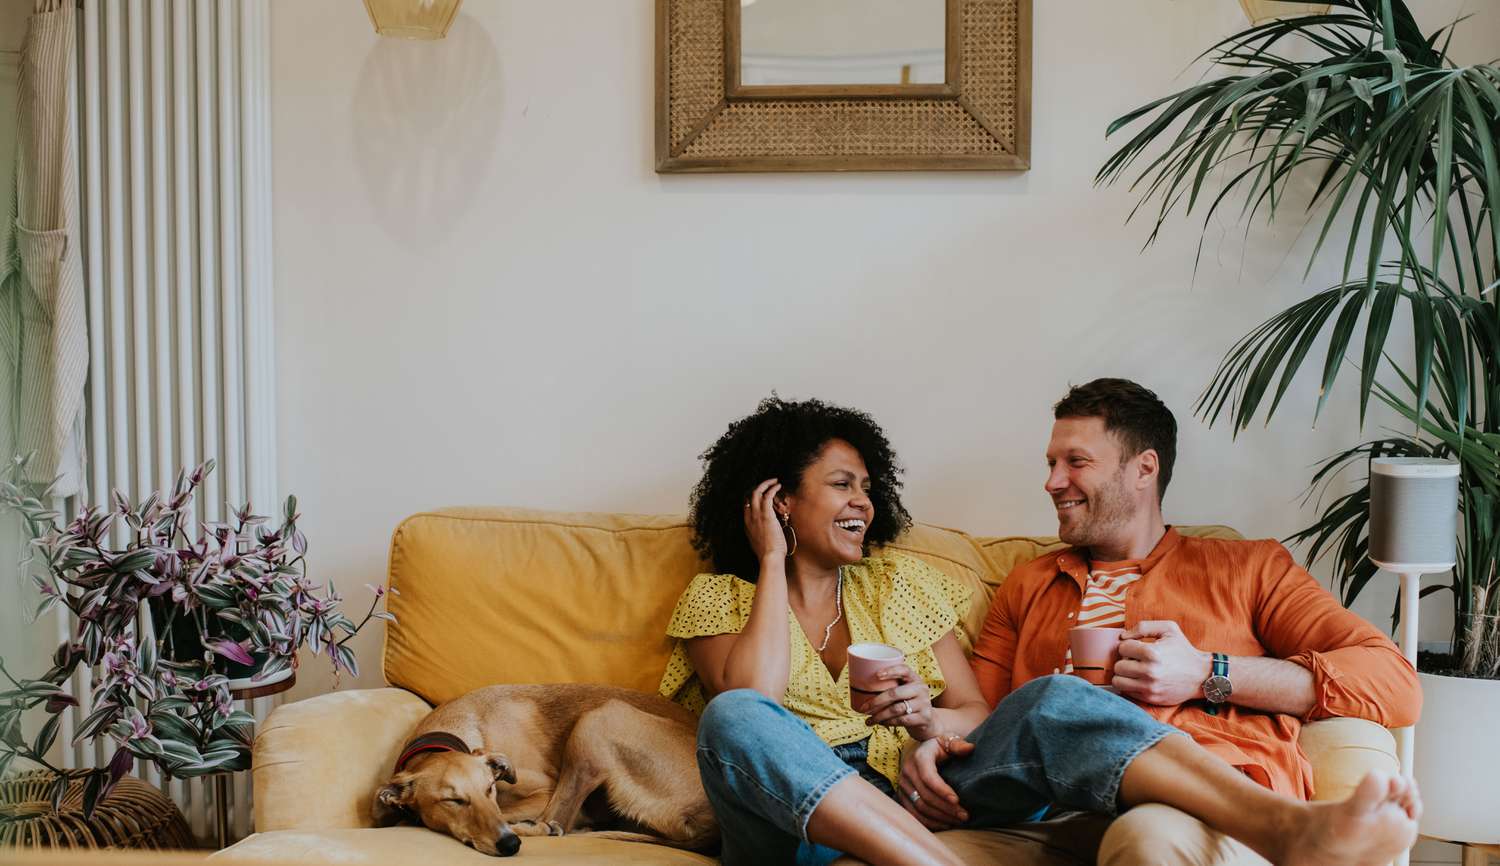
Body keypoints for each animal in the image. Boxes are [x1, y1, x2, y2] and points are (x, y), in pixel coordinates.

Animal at [372, 684, 717, 852]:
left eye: (490, 788)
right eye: (452, 800)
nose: (509, 845)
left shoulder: (542, 791)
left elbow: (514, 813)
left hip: (598, 719)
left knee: (559, 821)